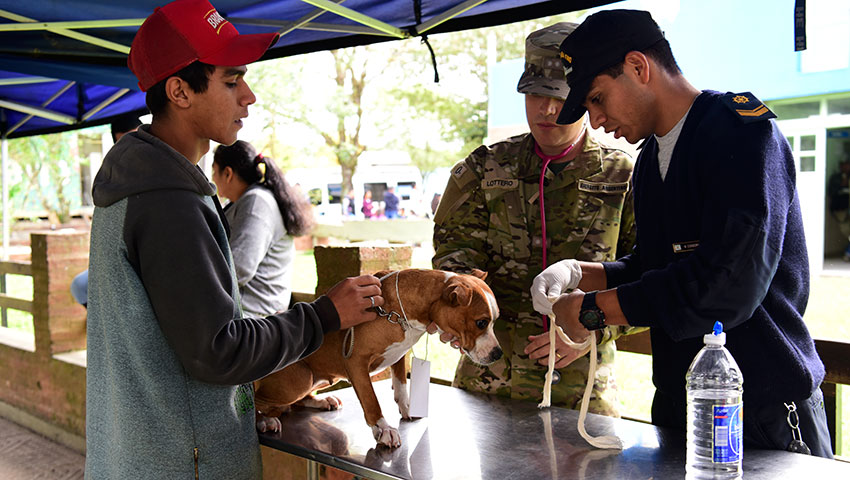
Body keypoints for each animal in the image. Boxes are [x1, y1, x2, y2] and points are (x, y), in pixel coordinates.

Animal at [255, 268, 500, 448]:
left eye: (495, 320)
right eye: (481, 322)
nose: (498, 353)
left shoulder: (400, 355)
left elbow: (401, 386)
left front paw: (407, 408)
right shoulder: (356, 361)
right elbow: (371, 400)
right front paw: (383, 429)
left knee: (296, 402)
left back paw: (321, 401)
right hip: (300, 378)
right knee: (259, 399)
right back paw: (264, 419)